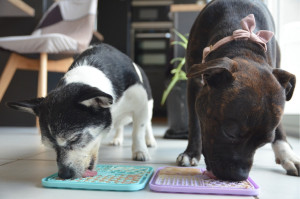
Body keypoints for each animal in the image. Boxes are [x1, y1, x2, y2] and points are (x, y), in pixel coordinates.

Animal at [7, 43, 157, 179]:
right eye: (50, 146)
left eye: (75, 138)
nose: (64, 175)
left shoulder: (141, 105)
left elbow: (138, 131)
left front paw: (140, 151)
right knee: (120, 125)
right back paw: (117, 139)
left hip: (149, 106)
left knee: (147, 124)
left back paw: (150, 141)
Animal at [177, 0, 298, 180]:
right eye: (230, 133)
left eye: (264, 142)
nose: (240, 176)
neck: (241, 43)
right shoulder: (195, 82)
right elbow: (194, 123)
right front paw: (191, 153)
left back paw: (287, 154)